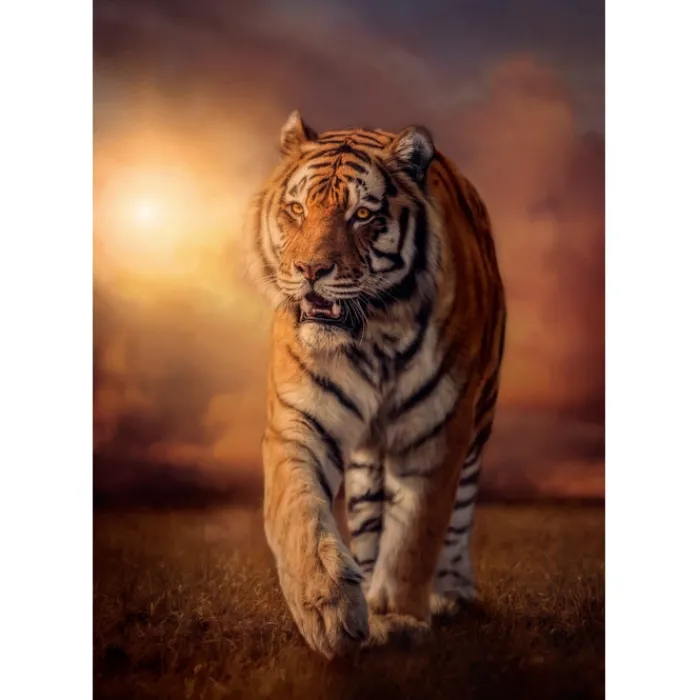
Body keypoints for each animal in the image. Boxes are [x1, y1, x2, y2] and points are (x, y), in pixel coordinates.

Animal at [242, 110, 507, 660]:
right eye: (297, 209)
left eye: (362, 214)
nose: (310, 270)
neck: (373, 337)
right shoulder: (299, 422)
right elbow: (298, 512)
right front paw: (328, 610)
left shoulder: (437, 434)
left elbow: (416, 535)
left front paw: (399, 616)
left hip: (480, 422)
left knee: (459, 515)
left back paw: (452, 593)